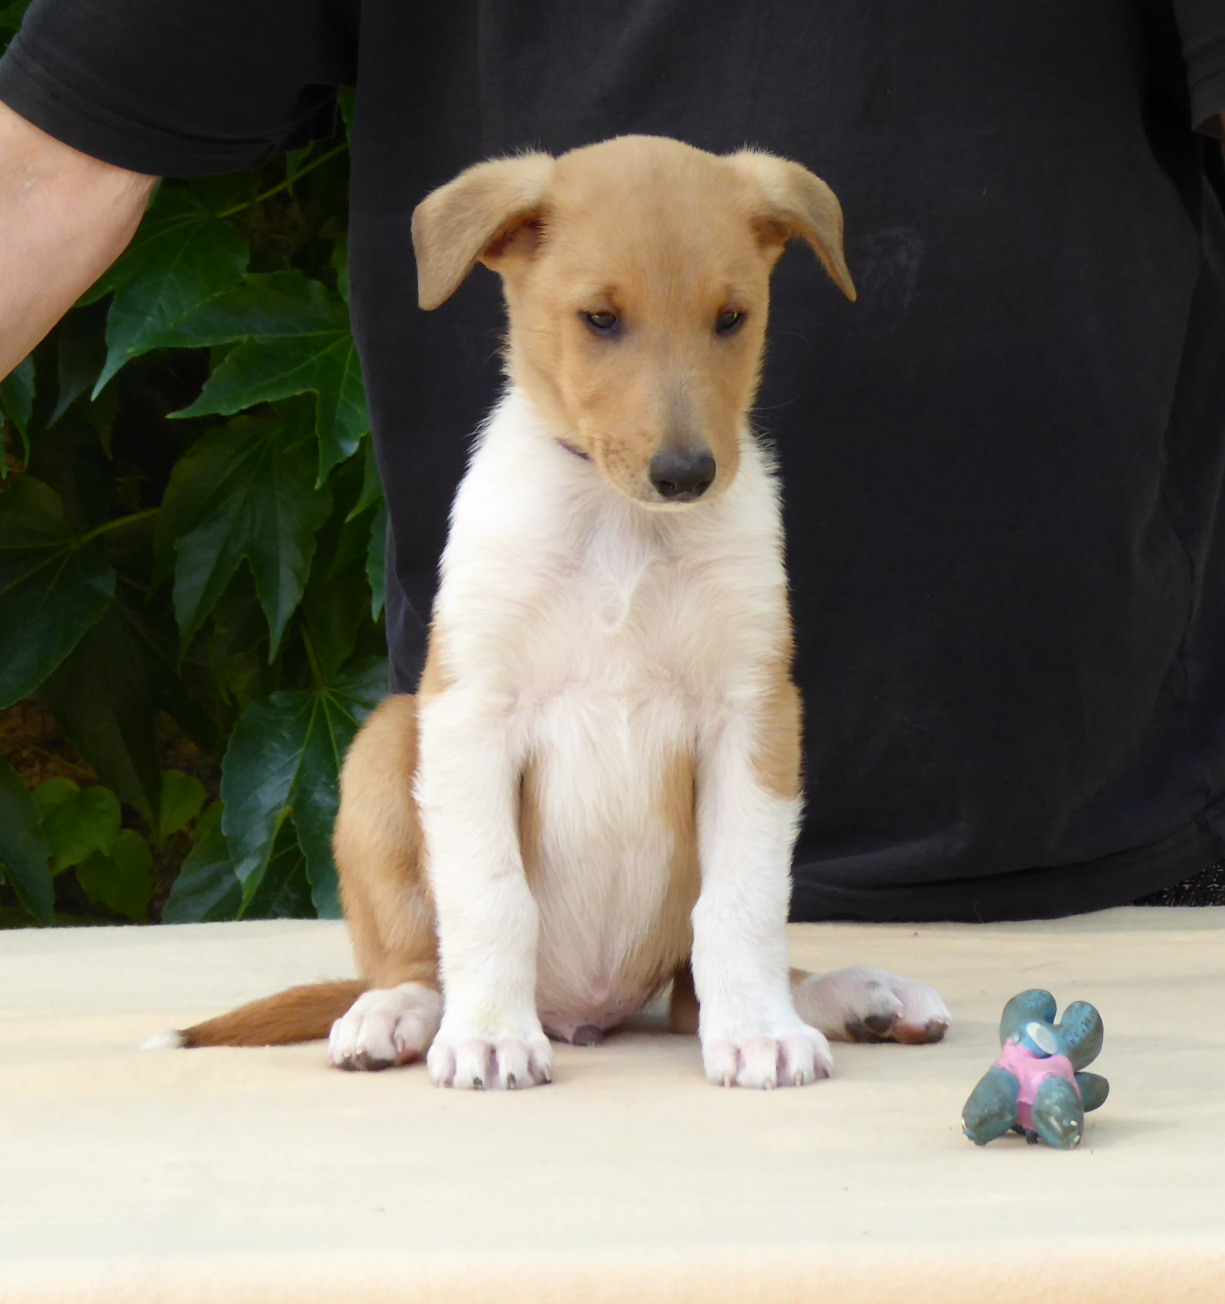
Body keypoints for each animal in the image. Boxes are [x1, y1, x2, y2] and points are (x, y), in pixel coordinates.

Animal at [157, 136, 950, 1089]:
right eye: (599, 320)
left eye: (732, 318)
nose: (686, 474)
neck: (620, 525)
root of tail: (589, 1010)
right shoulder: (471, 712)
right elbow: (490, 894)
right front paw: (492, 1036)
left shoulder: (753, 715)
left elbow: (743, 901)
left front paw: (761, 1031)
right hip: (385, 740)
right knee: (415, 963)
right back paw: (397, 1013)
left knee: (689, 996)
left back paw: (855, 996)